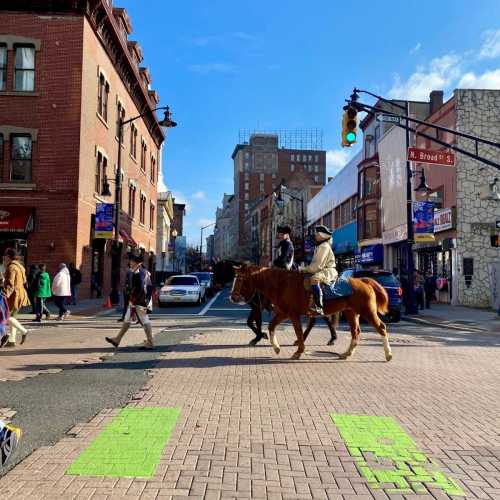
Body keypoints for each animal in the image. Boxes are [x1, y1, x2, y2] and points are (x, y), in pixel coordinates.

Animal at [231, 266, 394, 364]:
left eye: (240, 279)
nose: (232, 297)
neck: (282, 285)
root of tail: (363, 280)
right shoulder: (283, 313)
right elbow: (271, 326)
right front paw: (276, 348)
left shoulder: (292, 314)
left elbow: (298, 331)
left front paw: (298, 351)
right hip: (351, 313)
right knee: (356, 332)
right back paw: (346, 353)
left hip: (367, 312)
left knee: (381, 328)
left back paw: (388, 354)